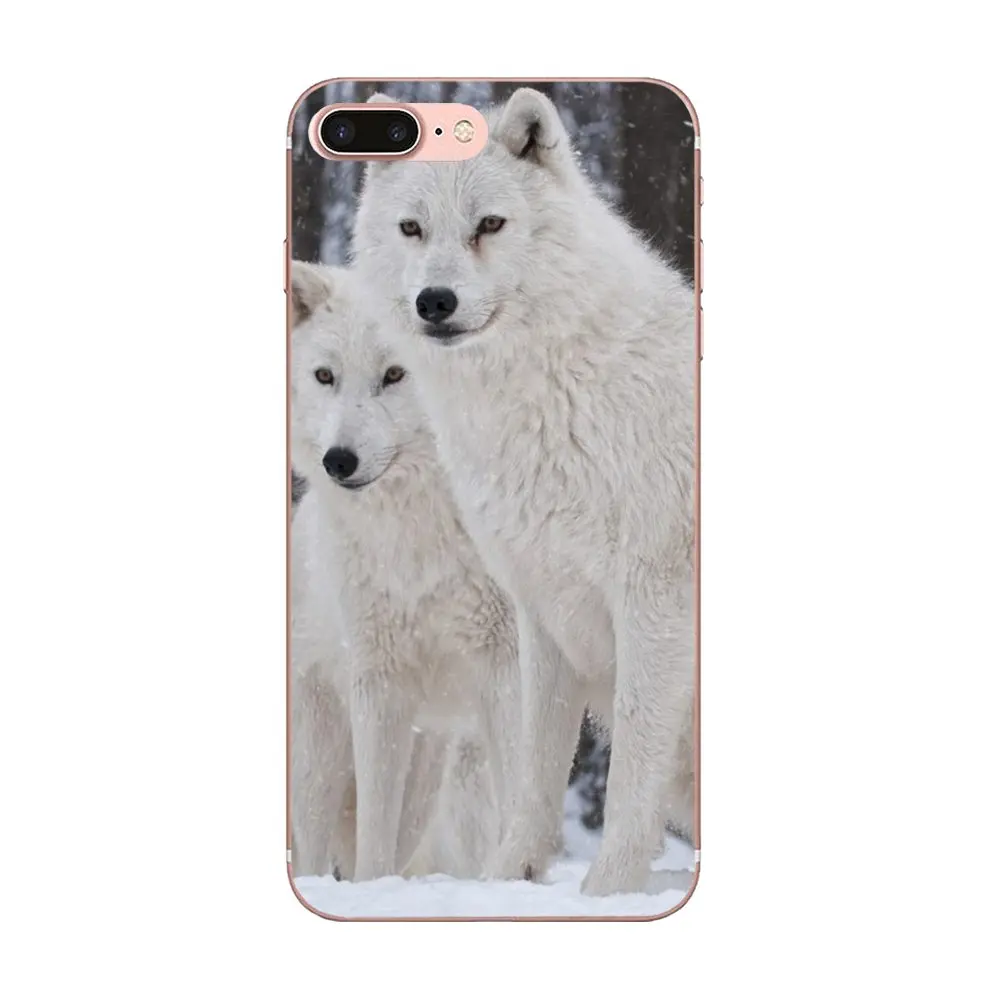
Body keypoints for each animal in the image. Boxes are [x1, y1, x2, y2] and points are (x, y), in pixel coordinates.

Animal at [289, 261, 520, 882]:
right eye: (325, 376)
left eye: (396, 374)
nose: (338, 461)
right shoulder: (378, 682)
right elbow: (374, 833)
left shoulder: (508, 668)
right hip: (321, 753)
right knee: (317, 847)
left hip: (436, 764)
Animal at [353, 88, 696, 895]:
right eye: (412, 228)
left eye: (489, 225)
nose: (435, 301)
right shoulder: (541, 607)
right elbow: (537, 764)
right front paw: (509, 880)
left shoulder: (653, 597)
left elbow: (631, 755)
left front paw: (608, 890)